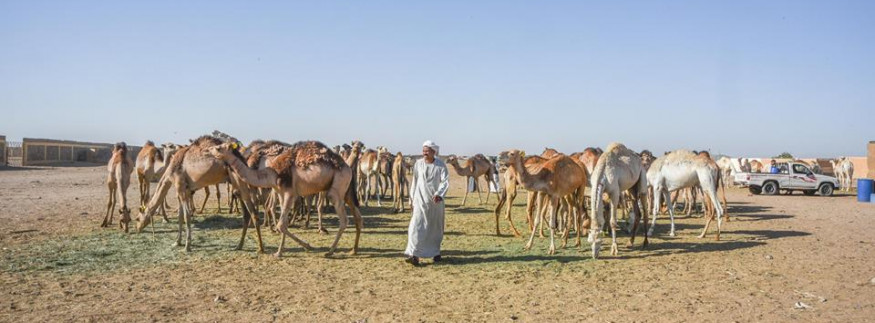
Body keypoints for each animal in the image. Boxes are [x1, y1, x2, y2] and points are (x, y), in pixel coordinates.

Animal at [135, 135, 266, 254]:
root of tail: (241, 157)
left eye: (137, 218)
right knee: (246, 213)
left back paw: (260, 248)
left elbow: (187, 215)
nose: (137, 228)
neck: (170, 171)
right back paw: (239, 245)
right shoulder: (185, 190)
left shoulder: (180, 186)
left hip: (238, 179)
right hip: (235, 183)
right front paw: (177, 242)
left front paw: (187, 246)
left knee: (253, 212)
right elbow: (180, 215)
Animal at [209, 140, 362, 258]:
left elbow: (281, 224)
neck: (271, 173)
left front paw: (304, 246)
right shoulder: (281, 193)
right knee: (357, 216)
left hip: (337, 187)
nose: (209, 149)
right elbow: (283, 223)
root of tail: (348, 167)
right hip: (347, 191)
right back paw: (353, 250)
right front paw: (281, 251)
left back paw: (330, 251)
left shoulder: (289, 192)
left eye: (219, 148)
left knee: (344, 219)